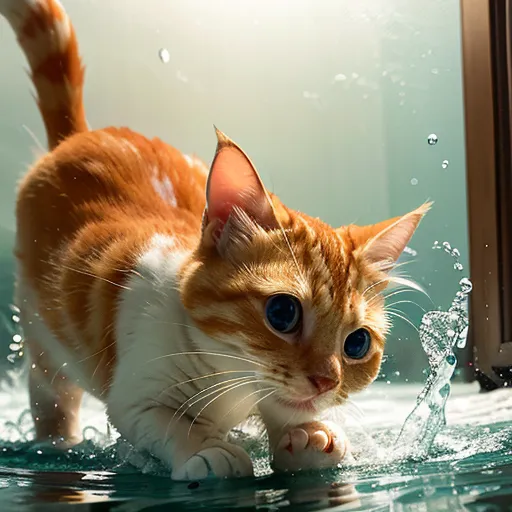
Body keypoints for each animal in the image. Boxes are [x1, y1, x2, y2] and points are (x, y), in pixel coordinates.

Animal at [2, 0, 430, 480]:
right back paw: (58, 444)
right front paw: (209, 450)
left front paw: (310, 436)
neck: (228, 383)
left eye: (357, 343)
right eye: (283, 313)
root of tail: (80, 135)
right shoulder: (135, 395)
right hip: (44, 342)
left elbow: (287, 413)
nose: (327, 381)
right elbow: (171, 423)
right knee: (52, 399)